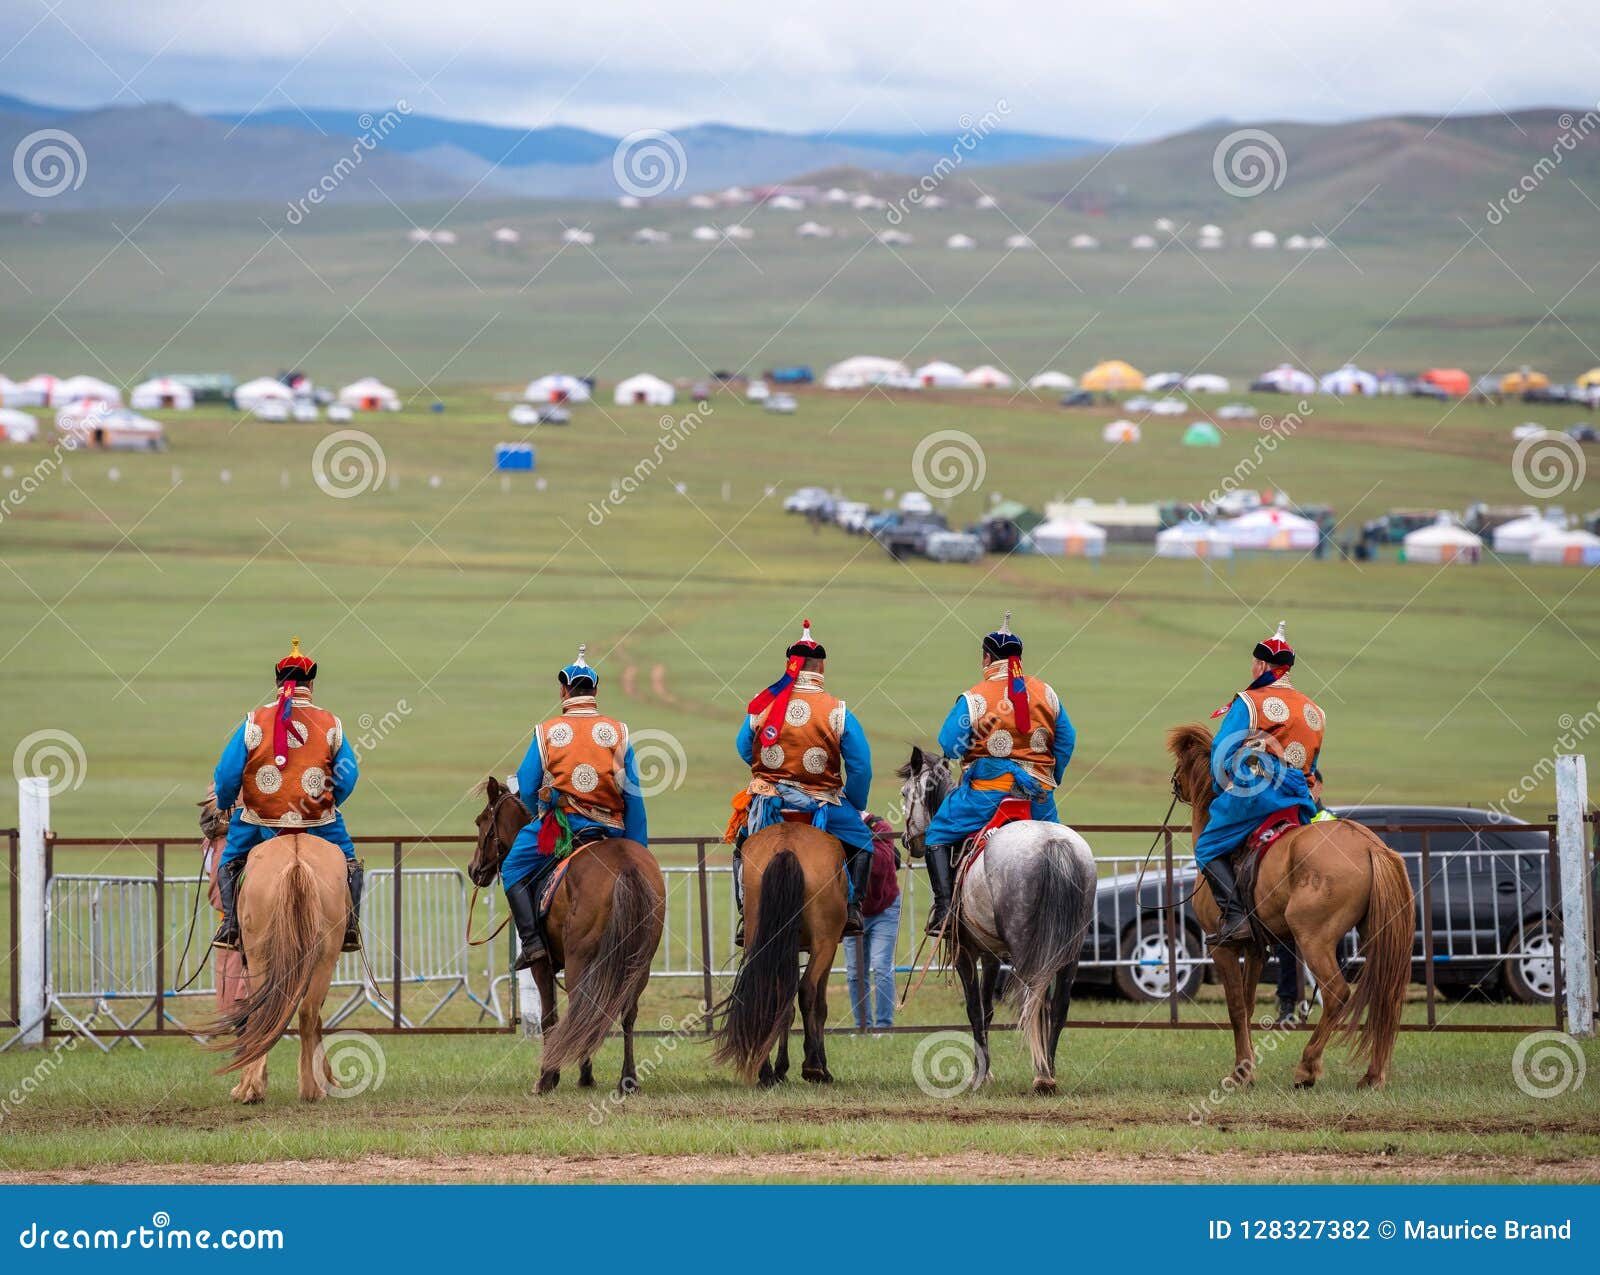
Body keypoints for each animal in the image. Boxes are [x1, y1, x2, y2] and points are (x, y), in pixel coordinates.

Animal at [204, 831, 348, 1100]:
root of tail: (296, 862)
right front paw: (329, 1080)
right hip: (323, 959)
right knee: (306, 1013)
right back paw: (308, 1088)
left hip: (262, 957)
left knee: (267, 1014)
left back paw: (261, 1088)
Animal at [467, 777, 665, 1094]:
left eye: (481, 821)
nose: (473, 870)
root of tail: (625, 865)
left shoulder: (542, 965)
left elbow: (550, 1016)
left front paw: (548, 1076)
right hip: (638, 964)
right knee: (626, 1012)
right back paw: (628, 1079)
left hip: (578, 961)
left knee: (582, 1006)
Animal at [707, 815, 844, 1081]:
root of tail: (786, 848)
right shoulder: (827, 947)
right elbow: (820, 1006)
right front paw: (820, 1066)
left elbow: (786, 1006)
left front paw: (781, 1067)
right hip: (824, 942)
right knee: (807, 989)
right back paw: (812, 1066)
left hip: (759, 936)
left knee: (769, 991)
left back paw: (766, 1072)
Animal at [902, 745, 1100, 1094]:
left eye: (904, 793)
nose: (907, 840)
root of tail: (1053, 843)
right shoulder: (991, 955)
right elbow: (988, 1010)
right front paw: (986, 1071)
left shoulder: (965, 951)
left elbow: (974, 1009)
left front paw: (978, 1076)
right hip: (1070, 950)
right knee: (1057, 1005)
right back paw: (1048, 1070)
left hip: (1027, 949)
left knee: (1033, 1001)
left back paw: (1041, 1075)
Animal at [1164, 719, 1414, 1087]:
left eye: (1182, 761)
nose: (1176, 783)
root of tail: (1370, 846)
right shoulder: (1255, 948)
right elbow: (1248, 1005)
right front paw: (1245, 1068)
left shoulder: (1223, 947)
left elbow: (1236, 1007)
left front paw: (1240, 1075)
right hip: (1376, 935)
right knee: (1387, 994)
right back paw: (1373, 1075)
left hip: (1313, 938)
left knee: (1337, 993)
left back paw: (1307, 1067)